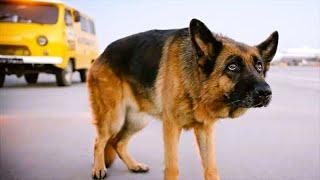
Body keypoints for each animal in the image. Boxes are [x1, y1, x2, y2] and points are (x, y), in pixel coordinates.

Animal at [87, 17, 278, 179]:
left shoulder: (205, 130)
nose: (266, 92)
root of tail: (103, 54)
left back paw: (134, 165)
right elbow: (173, 168)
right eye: (232, 67)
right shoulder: (171, 127)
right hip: (114, 118)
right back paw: (98, 168)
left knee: (117, 142)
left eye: (259, 66)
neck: (195, 86)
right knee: (99, 141)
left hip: (138, 120)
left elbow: (211, 167)